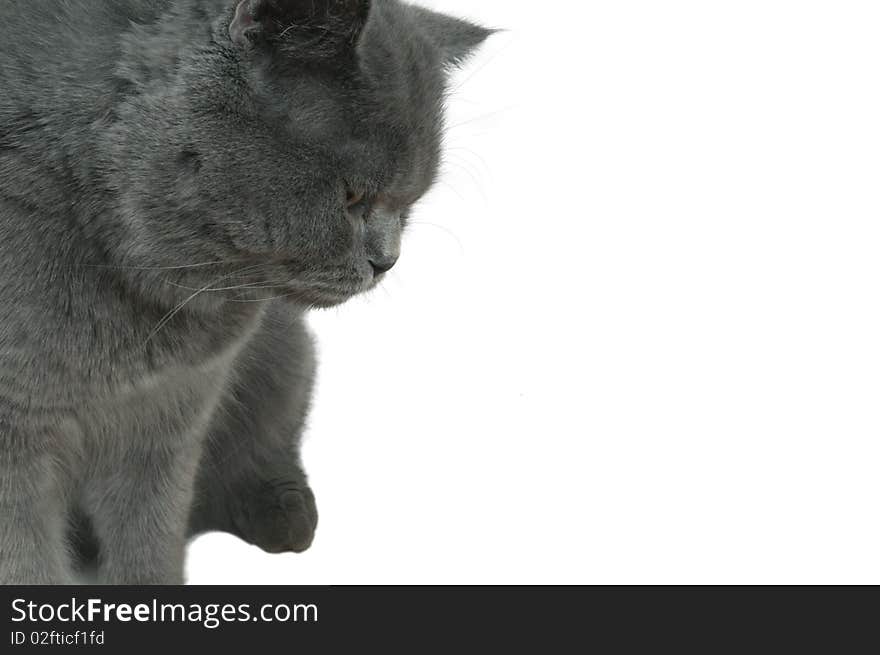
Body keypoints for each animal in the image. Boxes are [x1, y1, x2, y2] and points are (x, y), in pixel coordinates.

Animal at [0, 0, 488, 584]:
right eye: (352, 196)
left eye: (408, 202)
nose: (387, 261)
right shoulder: (17, 436)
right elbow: (25, 558)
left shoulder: (172, 413)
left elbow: (151, 535)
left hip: (285, 351)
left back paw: (285, 514)